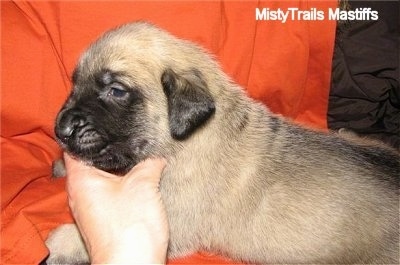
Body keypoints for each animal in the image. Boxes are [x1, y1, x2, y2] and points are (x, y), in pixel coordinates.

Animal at [44, 21, 400, 262]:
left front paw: (60, 242)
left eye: (116, 91)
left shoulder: (175, 223)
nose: (60, 128)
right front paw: (61, 164)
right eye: (75, 82)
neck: (192, 137)